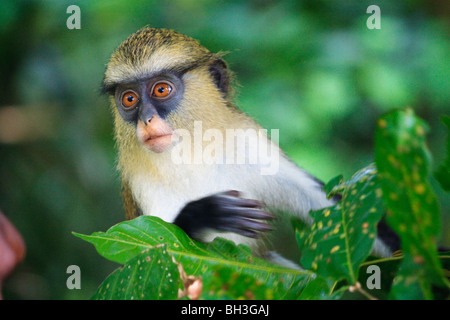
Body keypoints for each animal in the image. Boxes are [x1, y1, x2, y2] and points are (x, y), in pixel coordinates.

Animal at [102, 27, 398, 266]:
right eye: (129, 99)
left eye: (161, 90)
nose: (146, 119)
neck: (192, 152)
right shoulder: (140, 183)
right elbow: (153, 251)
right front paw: (204, 213)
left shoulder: (248, 142)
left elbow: (328, 204)